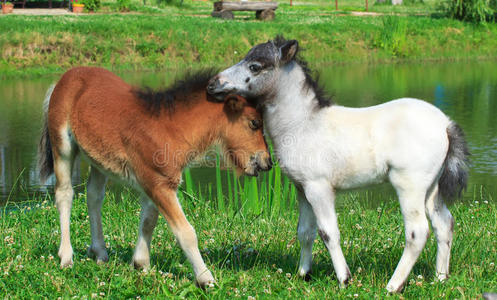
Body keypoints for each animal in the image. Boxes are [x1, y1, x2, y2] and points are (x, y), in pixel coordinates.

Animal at [37, 67, 272, 288]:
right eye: (254, 123)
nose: (267, 162)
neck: (170, 129)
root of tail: (64, 77)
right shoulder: (159, 185)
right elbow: (185, 232)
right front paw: (206, 279)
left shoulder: (155, 183)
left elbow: (148, 221)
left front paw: (141, 264)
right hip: (62, 147)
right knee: (65, 194)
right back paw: (66, 257)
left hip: (98, 160)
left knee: (94, 196)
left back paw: (100, 253)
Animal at [207, 36, 470, 292]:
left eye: (255, 66)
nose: (211, 84)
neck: (303, 124)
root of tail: (446, 124)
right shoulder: (302, 189)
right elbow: (305, 232)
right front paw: (303, 275)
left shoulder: (319, 188)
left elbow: (328, 233)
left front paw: (344, 279)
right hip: (432, 188)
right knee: (444, 224)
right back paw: (440, 279)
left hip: (409, 186)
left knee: (418, 232)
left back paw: (394, 286)